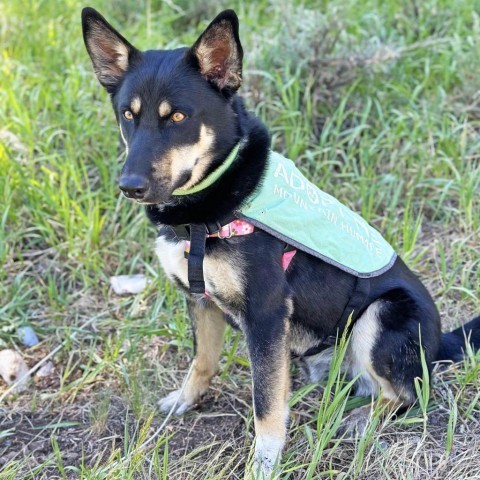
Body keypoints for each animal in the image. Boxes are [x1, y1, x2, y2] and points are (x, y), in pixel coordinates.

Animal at [82, 8, 480, 476]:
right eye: (128, 115)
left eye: (177, 118)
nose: (130, 186)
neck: (205, 212)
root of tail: (440, 342)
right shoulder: (200, 300)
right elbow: (202, 361)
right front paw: (186, 399)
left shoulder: (266, 314)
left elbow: (267, 404)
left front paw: (264, 462)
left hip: (382, 315)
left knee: (410, 392)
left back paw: (363, 418)